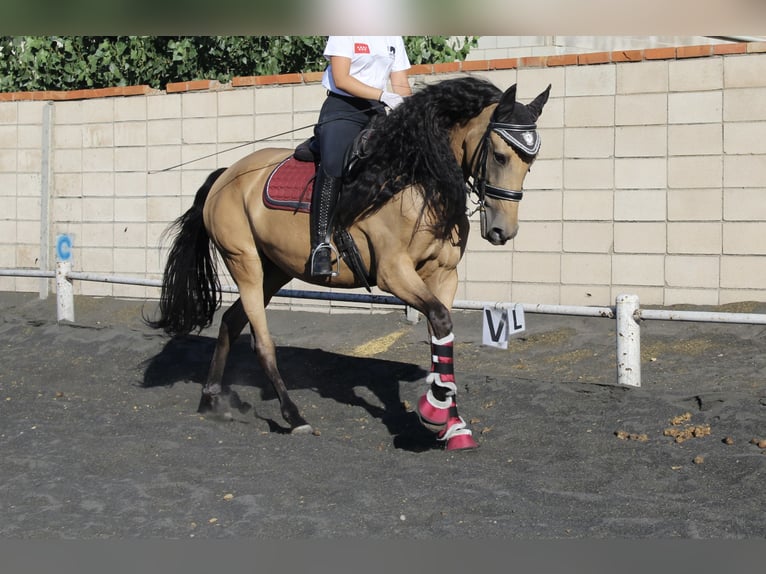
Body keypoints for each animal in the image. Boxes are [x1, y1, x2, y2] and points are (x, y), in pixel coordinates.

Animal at [148, 77, 552, 454]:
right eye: (499, 155)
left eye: (529, 163)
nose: (502, 230)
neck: (417, 178)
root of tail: (225, 176)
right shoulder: (394, 274)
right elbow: (439, 320)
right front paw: (435, 413)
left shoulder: (443, 275)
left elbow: (441, 336)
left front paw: (453, 425)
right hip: (245, 264)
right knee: (261, 342)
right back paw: (293, 416)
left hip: (273, 271)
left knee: (232, 323)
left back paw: (212, 399)